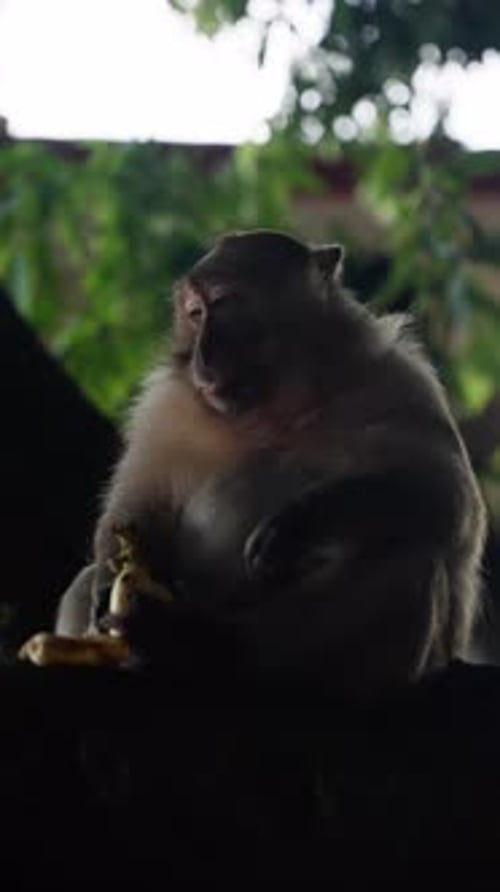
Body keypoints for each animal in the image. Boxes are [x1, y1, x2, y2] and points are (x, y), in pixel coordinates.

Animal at [51, 230, 486, 696]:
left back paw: (204, 647)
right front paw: (118, 575)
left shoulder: (401, 382)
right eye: (195, 313)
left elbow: (450, 499)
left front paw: (302, 522)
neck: (279, 408)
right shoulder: (164, 408)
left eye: (224, 303)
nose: (201, 355)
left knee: (408, 556)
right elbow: (138, 506)